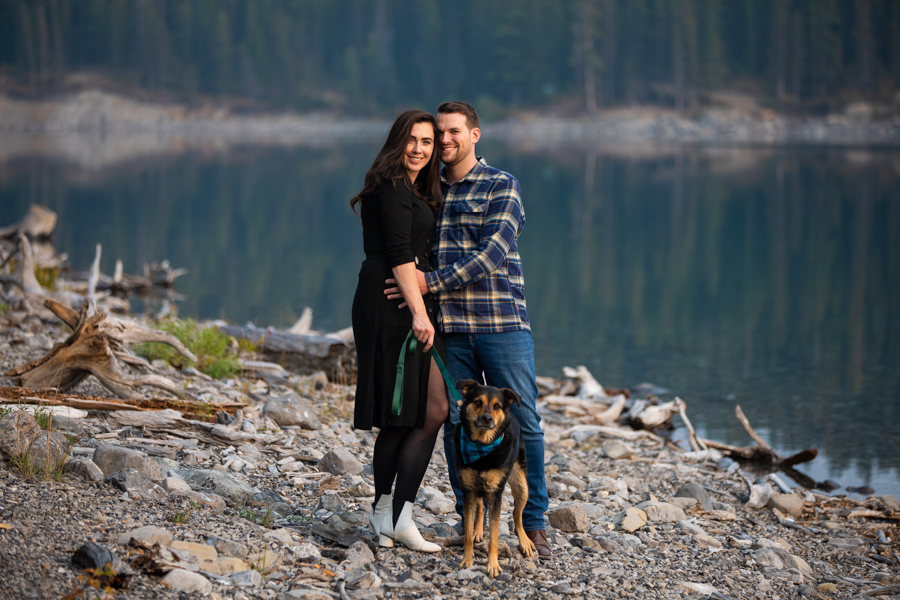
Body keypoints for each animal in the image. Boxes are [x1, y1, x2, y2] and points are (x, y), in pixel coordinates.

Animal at [458, 380, 536, 576]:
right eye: (478, 402)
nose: (487, 419)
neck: (481, 445)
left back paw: (525, 541)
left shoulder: (495, 494)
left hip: (522, 486)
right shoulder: (468, 490)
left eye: (497, 406)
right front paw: (467, 560)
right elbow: (468, 533)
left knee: (517, 515)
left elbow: (494, 536)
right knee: (480, 507)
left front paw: (493, 565)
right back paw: (478, 530)